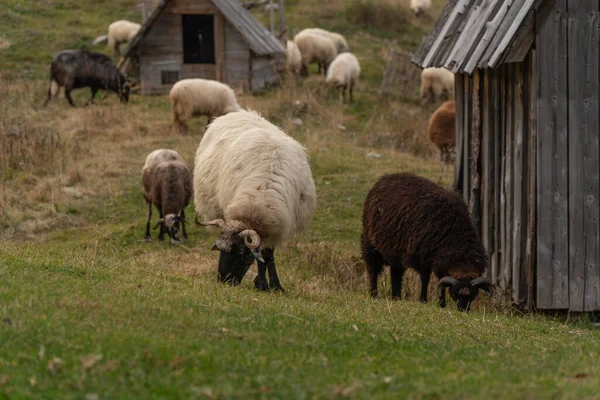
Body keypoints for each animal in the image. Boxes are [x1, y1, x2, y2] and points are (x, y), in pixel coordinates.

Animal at [193, 109, 316, 290]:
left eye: (242, 254)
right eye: (221, 250)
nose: (223, 280)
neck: (262, 195)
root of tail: (238, 112)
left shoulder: (273, 228)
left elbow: (267, 256)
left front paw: (272, 286)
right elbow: (263, 257)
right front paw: (263, 284)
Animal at [360, 172, 492, 312]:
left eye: (473, 295)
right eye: (455, 293)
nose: (463, 310)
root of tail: (386, 177)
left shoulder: (440, 260)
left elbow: (441, 282)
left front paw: (442, 305)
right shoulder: (423, 258)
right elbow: (425, 279)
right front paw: (423, 300)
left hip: (395, 251)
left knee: (396, 273)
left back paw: (396, 297)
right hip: (370, 243)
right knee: (373, 268)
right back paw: (374, 294)